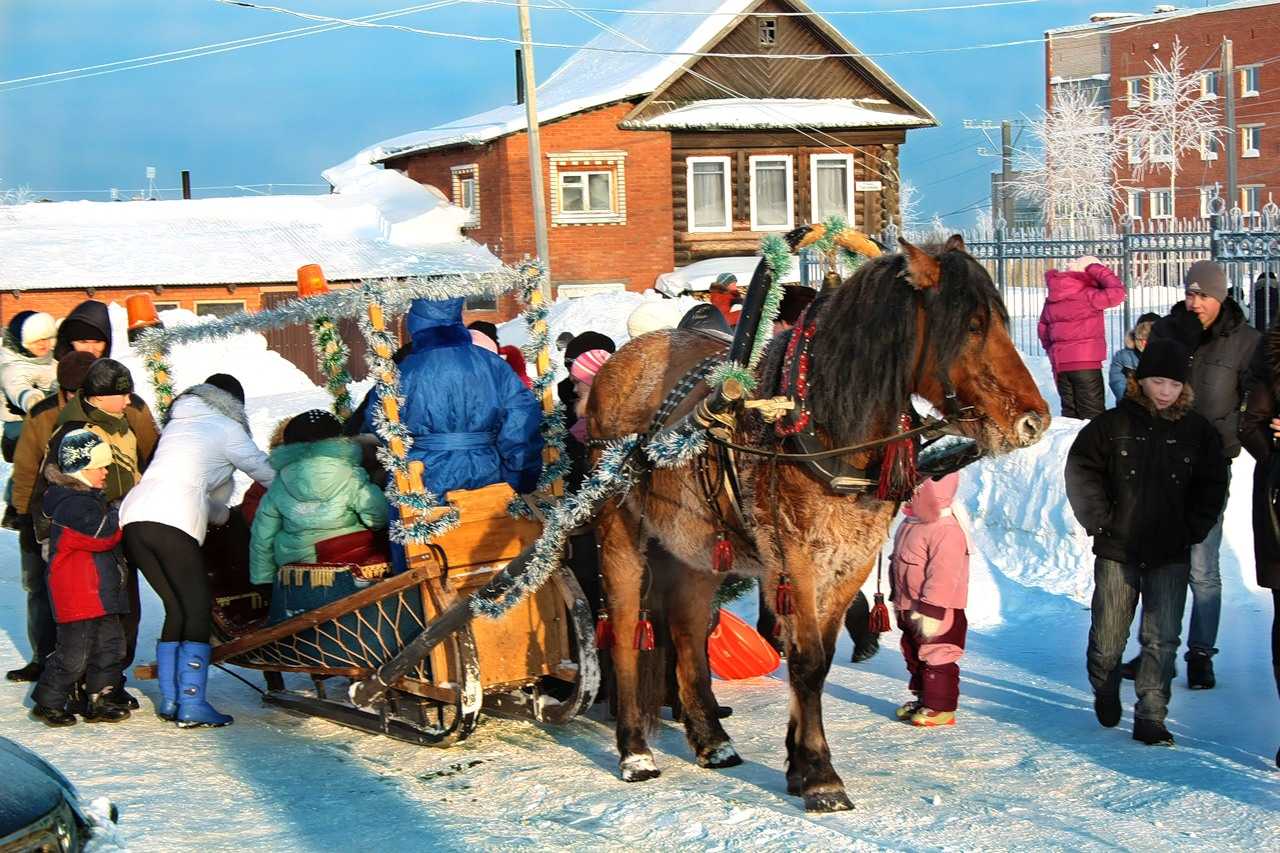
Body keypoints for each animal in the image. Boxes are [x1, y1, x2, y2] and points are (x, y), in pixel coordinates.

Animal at [586, 230, 1044, 809]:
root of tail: (620, 363)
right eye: (972, 326)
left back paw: (712, 740)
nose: (1034, 421)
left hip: (696, 547)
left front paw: (798, 763)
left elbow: (819, 658)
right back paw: (635, 752)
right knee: (625, 627)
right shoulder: (795, 559)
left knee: (688, 629)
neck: (827, 426)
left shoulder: (850, 560)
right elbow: (804, 658)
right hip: (619, 529)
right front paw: (821, 774)